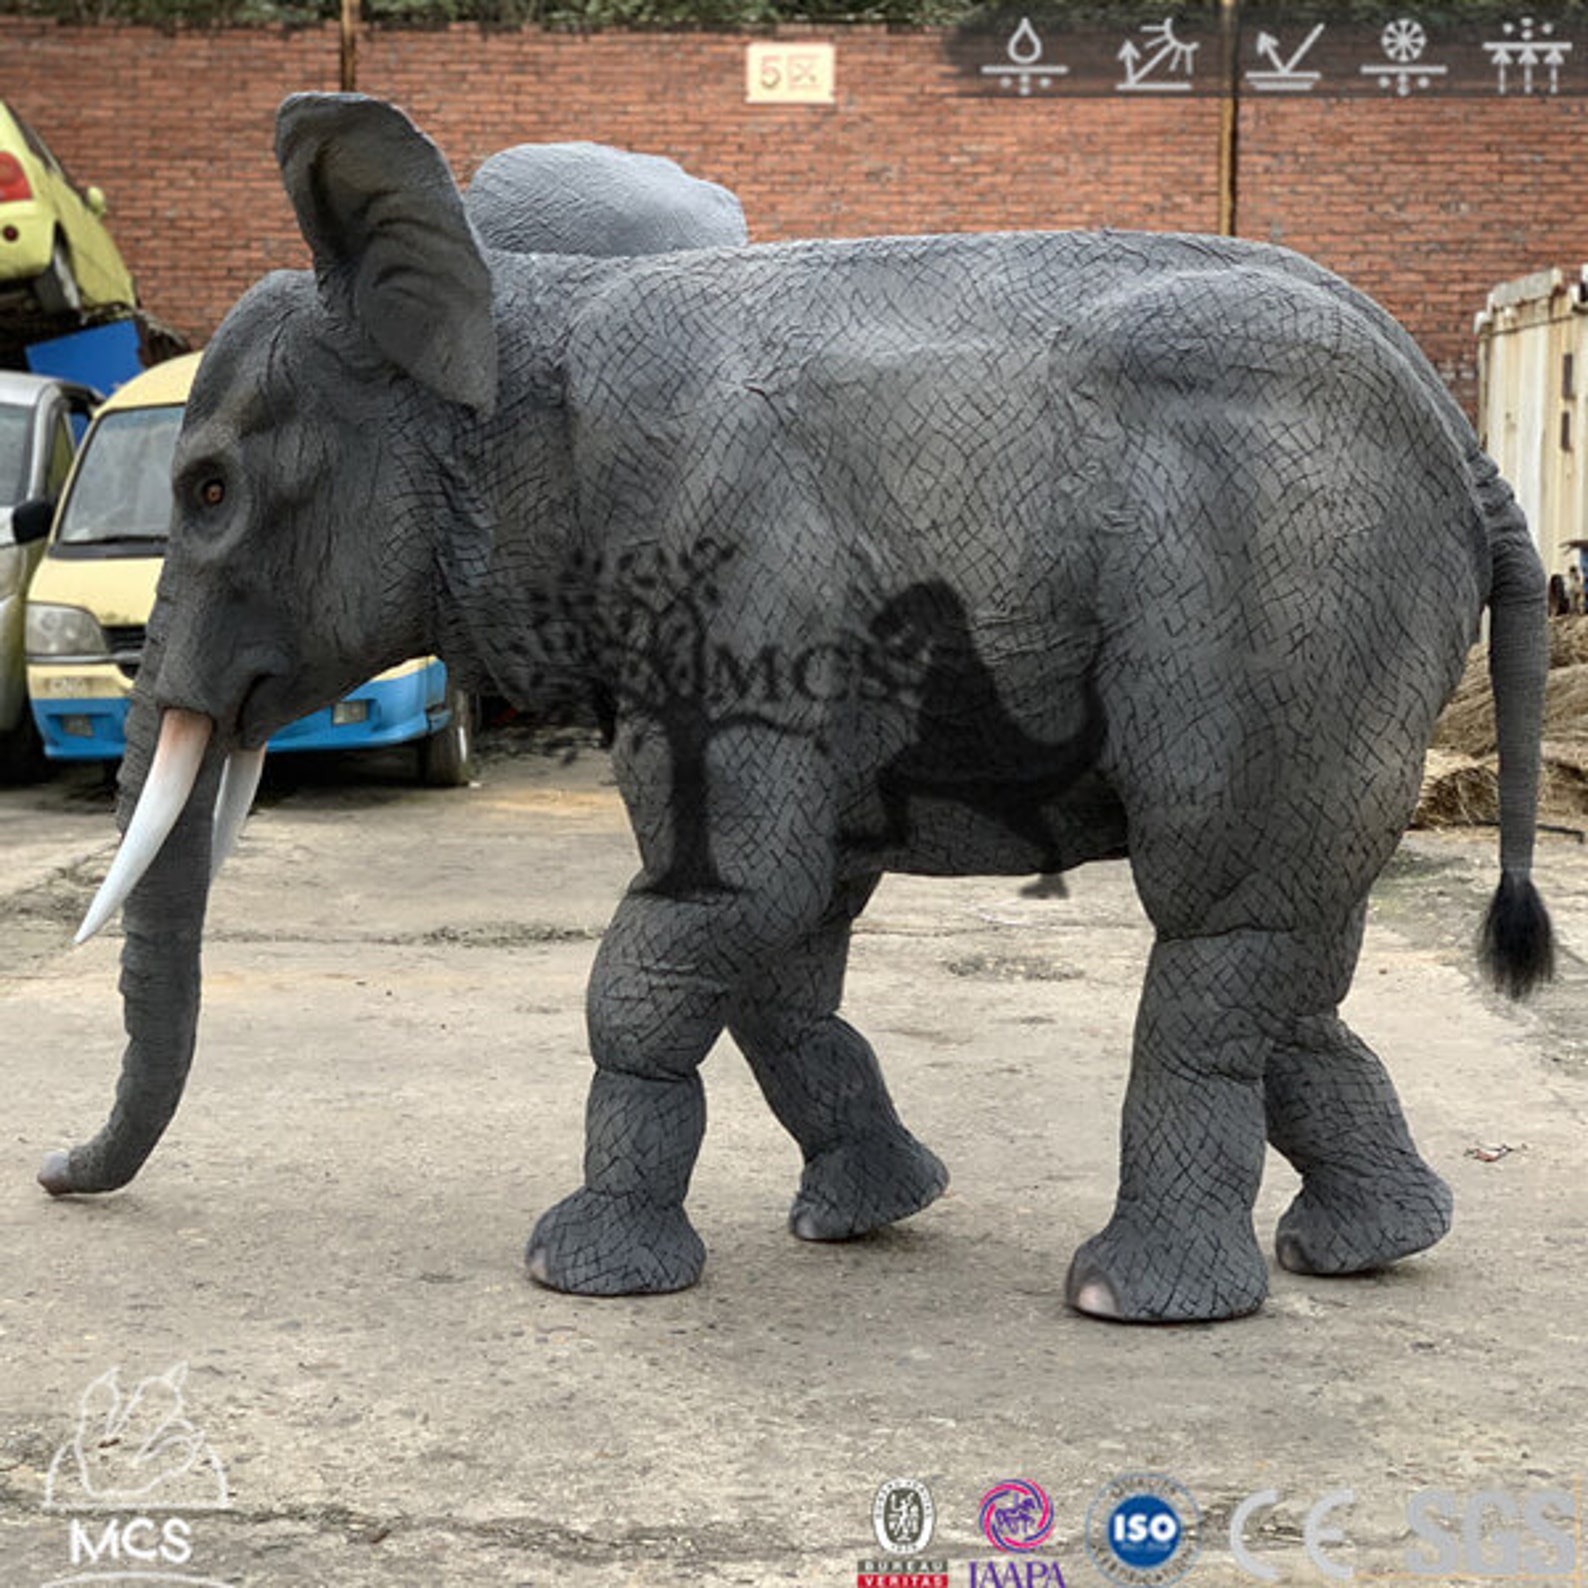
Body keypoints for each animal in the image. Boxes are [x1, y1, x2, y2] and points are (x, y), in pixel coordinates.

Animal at [39, 93, 1554, 1325]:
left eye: (209, 491)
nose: (55, 1176)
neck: (529, 306)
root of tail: (1469, 454)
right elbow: (787, 922)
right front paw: (868, 1215)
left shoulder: (739, 587)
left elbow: (730, 897)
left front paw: (576, 1271)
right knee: (1292, 949)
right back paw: (1367, 1249)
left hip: (1284, 594)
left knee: (1215, 916)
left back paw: (1136, 1298)